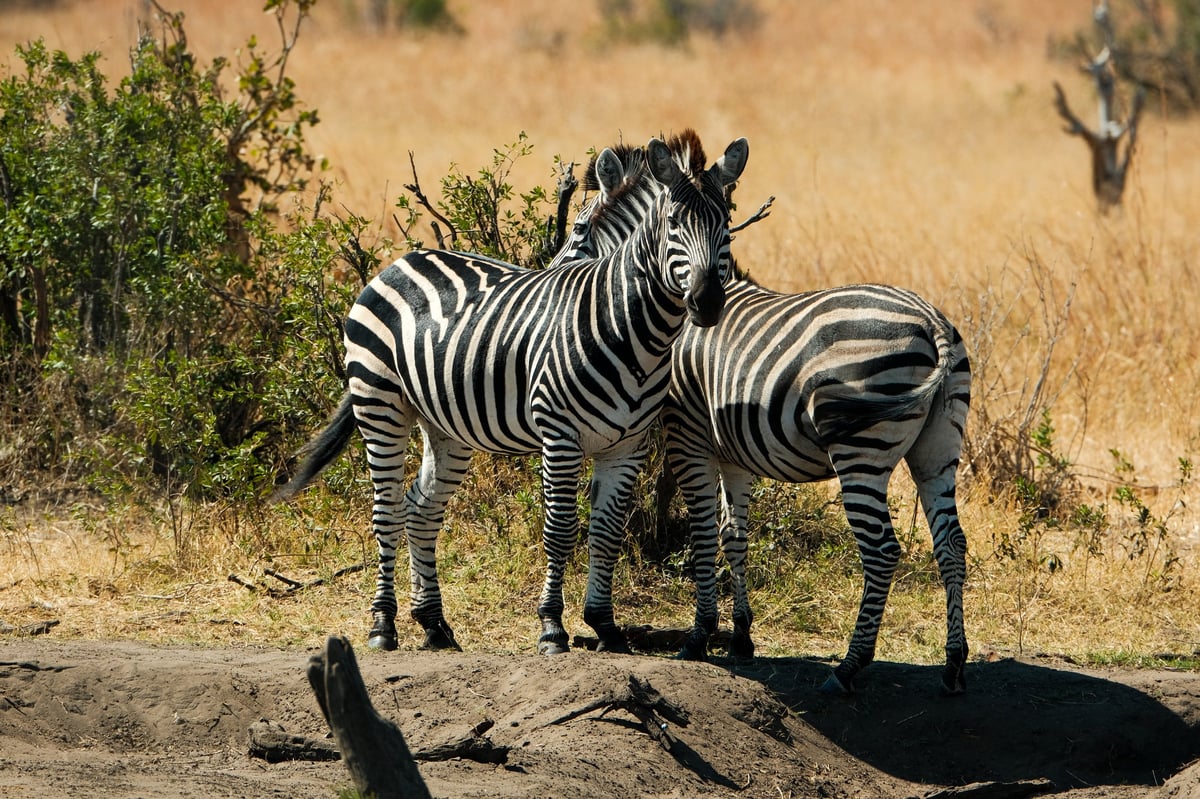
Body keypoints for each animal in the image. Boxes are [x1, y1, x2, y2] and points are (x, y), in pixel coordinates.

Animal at [273, 132, 750, 656]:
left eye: (726, 226)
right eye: (673, 224)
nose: (707, 302)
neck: (631, 329)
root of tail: (403, 259)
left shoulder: (627, 446)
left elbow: (606, 533)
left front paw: (605, 626)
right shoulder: (559, 436)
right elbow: (560, 529)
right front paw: (553, 628)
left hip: (445, 425)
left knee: (422, 508)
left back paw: (434, 623)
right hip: (379, 402)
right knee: (386, 511)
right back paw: (383, 624)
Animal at [555, 142, 971, 694]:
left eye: (577, 232)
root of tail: (929, 319)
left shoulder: (688, 437)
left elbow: (703, 534)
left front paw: (699, 637)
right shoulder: (736, 450)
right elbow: (734, 535)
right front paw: (741, 636)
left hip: (861, 450)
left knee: (882, 551)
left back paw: (849, 667)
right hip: (938, 448)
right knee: (951, 544)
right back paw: (953, 665)